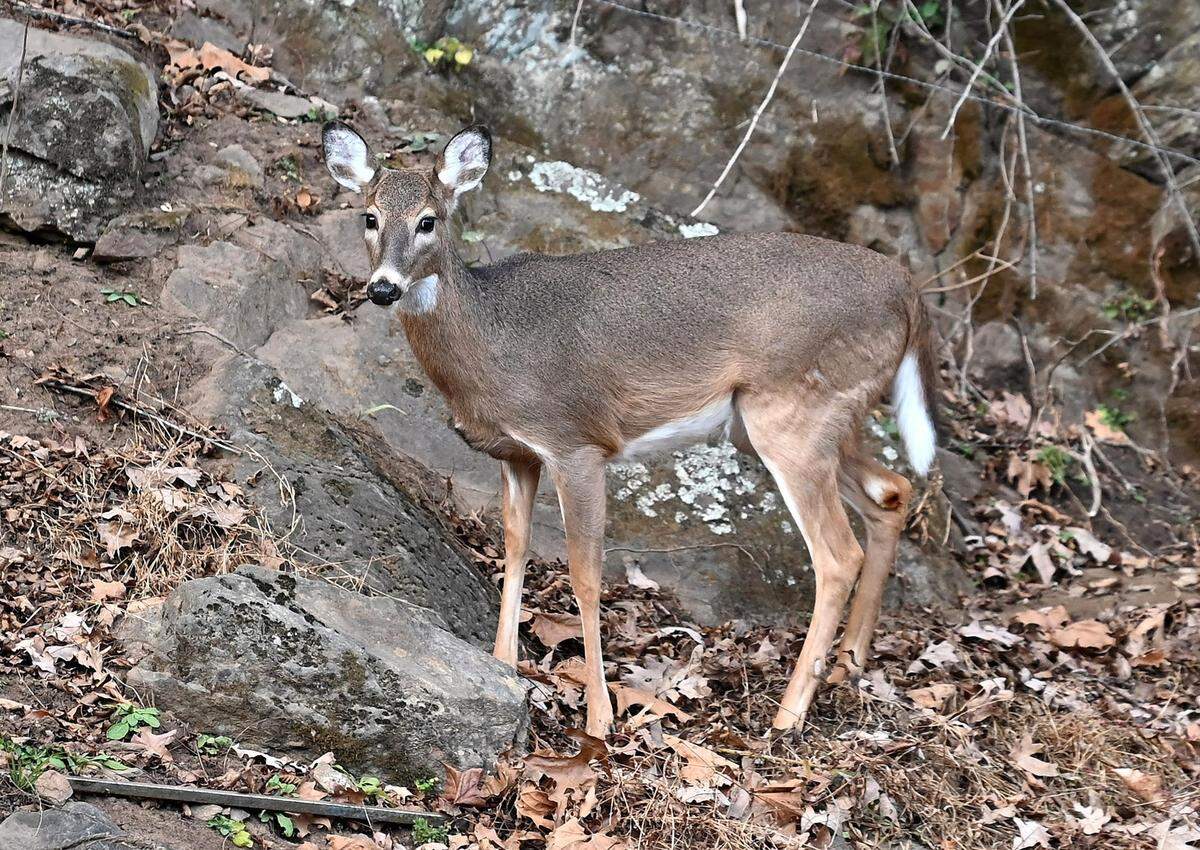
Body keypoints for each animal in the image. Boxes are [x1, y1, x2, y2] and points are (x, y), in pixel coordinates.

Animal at [321, 121, 938, 738]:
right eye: (369, 216)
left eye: (428, 219)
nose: (382, 288)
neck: (490, 341)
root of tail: (908, 290)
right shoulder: (517, 454)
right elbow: (515, 548)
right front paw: (502, 666)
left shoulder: (575, 442)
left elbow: (585, 575)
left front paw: (599, 717)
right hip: (791, 418)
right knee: (892, 491)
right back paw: (850, 663)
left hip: (793, 411)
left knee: (838, 554)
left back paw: (787, 716)